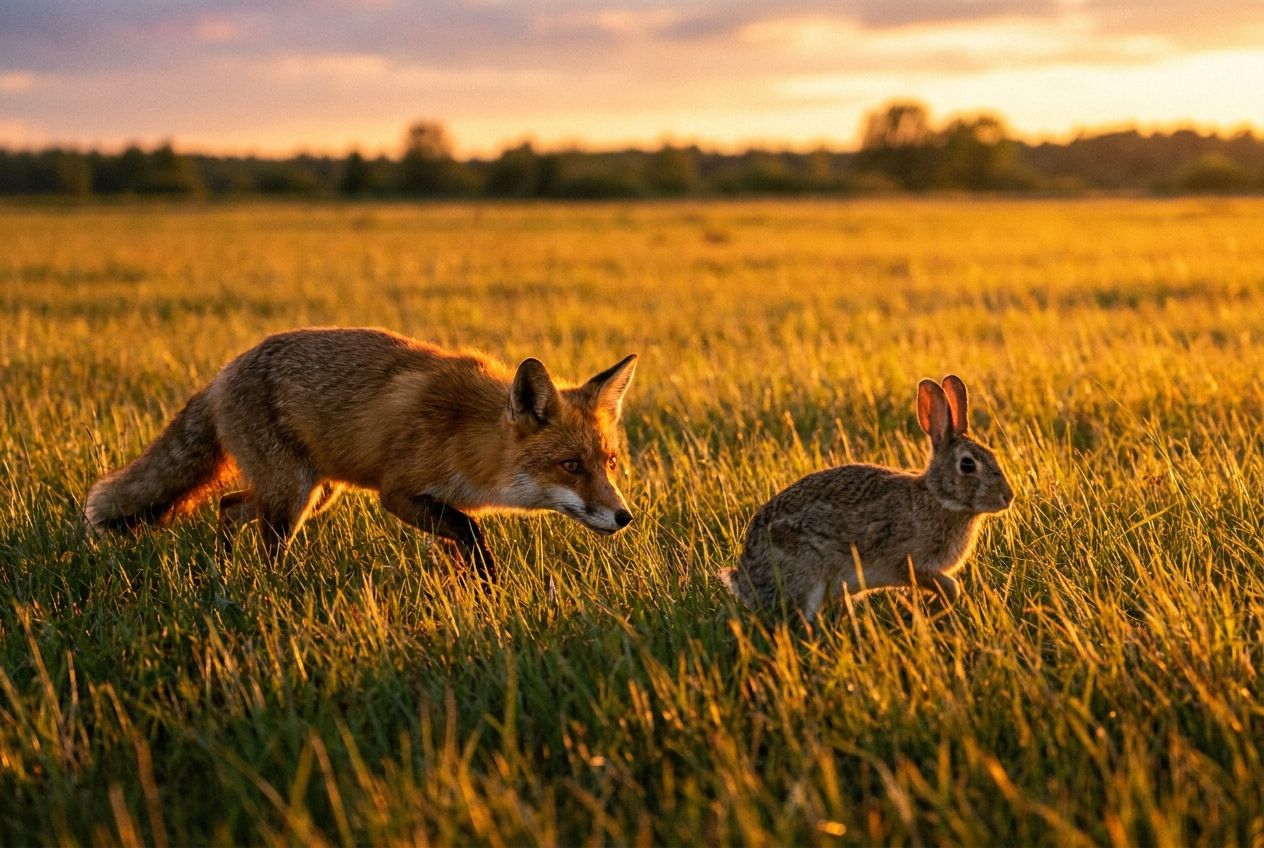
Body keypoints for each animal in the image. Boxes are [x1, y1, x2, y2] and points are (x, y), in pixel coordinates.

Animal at [83, 327, 639, 582]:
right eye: (571, 466)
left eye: (609, 464)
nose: (624, 516)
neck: (469, 435)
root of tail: (223, 371)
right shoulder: (399, 493)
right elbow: (472, 532)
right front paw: (491, 585)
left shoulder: (438, 504)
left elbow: (462, 545)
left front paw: (475, 594)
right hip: (292, 496)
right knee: (263, 539)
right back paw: (271, 589)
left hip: (311, 492)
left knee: (229, 505)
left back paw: (223, 569)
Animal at [720, 375, 1013, 622]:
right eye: (967, 465)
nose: (1008, 497)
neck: (937, 497)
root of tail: (744, 579)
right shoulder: (908, 563)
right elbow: (950, 587)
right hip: (805, 576)